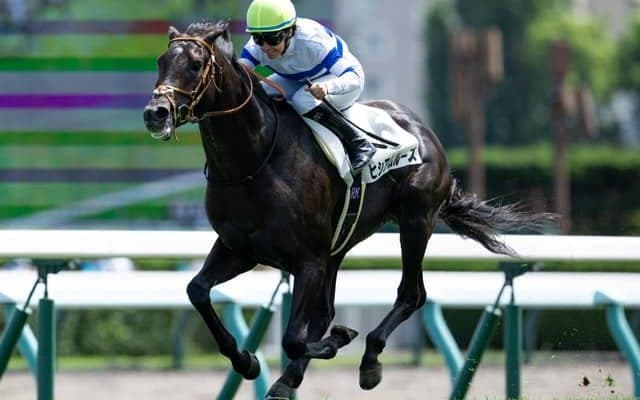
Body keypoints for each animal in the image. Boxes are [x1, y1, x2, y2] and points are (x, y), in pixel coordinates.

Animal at [143, 19, 553, 399]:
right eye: (162, 61)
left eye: (196, 64)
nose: (155, 113)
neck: (253, 162)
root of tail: (422, 130)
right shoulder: (239, 248)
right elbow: (197, 291)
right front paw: (247, 361)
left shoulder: (307, 259)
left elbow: (295, 337)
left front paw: (336, 341)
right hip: (341, 242)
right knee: (329, 309)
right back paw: (291, 377)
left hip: (415, 219)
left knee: (412, 294)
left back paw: (369, 361)